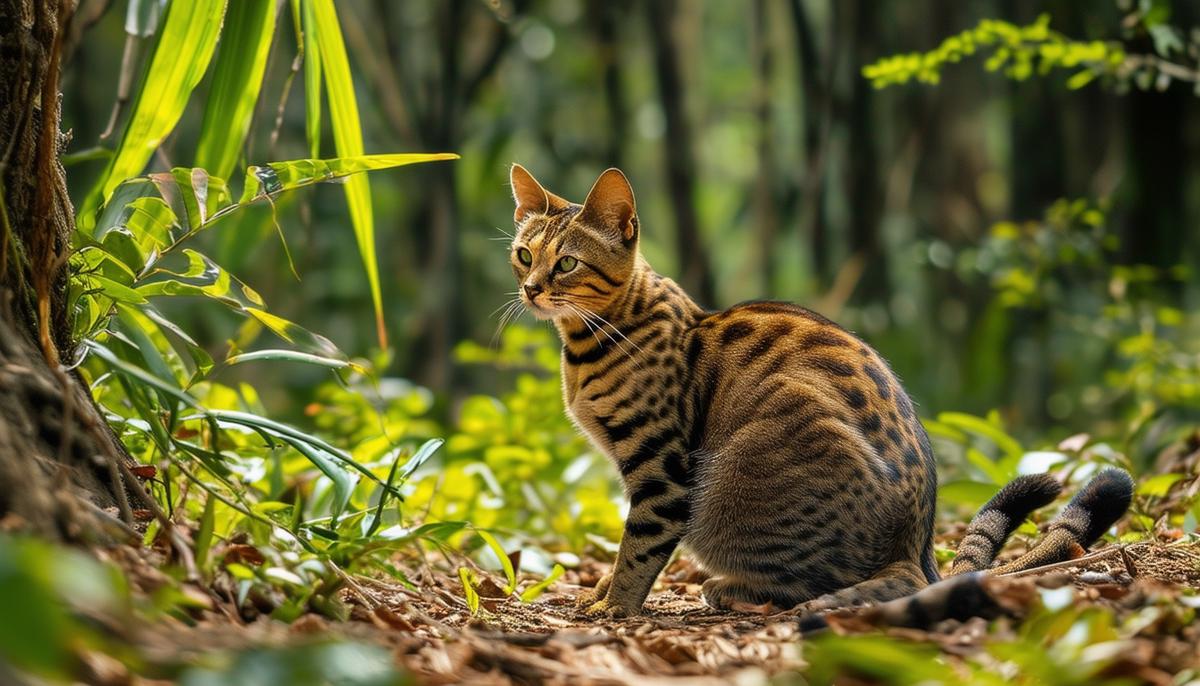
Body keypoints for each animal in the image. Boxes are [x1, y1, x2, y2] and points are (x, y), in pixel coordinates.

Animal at [504, 164, 1132, 614]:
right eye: (523, 254)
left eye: (567, 263)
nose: (531, 288)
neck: (589, 344)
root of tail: (920, 549)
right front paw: (598, 594)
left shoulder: (662, 470)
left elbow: (637, 546)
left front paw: (611, 606)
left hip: (738, 476)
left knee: (840, 582)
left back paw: (732, 589)